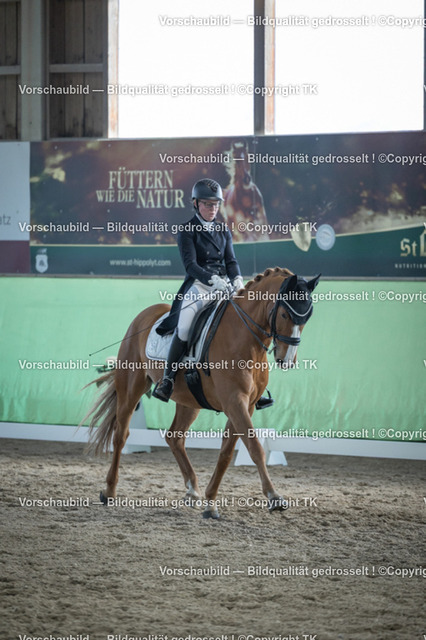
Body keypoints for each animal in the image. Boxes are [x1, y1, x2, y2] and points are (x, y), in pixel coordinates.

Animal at [84, 267, 320, 519]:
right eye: (285, 314)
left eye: (307, 317)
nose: (287, 360)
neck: (244, 338)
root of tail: (144, 314)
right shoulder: (234, 401)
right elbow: (255, 447)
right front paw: (274, 497)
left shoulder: (245, 405)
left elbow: (226, 452)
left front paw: (210, 502)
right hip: (131, 387)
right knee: (120, 435)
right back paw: (109, 491)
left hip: (189, 401)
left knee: (174, 436)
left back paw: (192, 491)